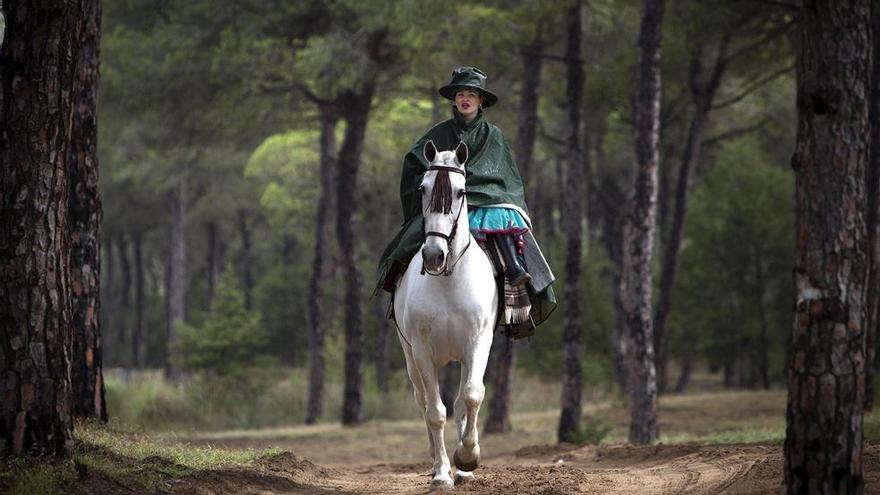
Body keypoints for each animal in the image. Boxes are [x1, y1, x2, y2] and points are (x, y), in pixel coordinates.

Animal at [394, 140, 498, 492]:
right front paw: (441, 473)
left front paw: (467, 458)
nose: (434, 255)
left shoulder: (477, 345)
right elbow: (435, 412)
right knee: (425, 401)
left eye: (460, 191)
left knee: (461, 402)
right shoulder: (423, 352)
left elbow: (471, 396)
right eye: (423, 188)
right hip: (412, 360)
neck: (449, 280)